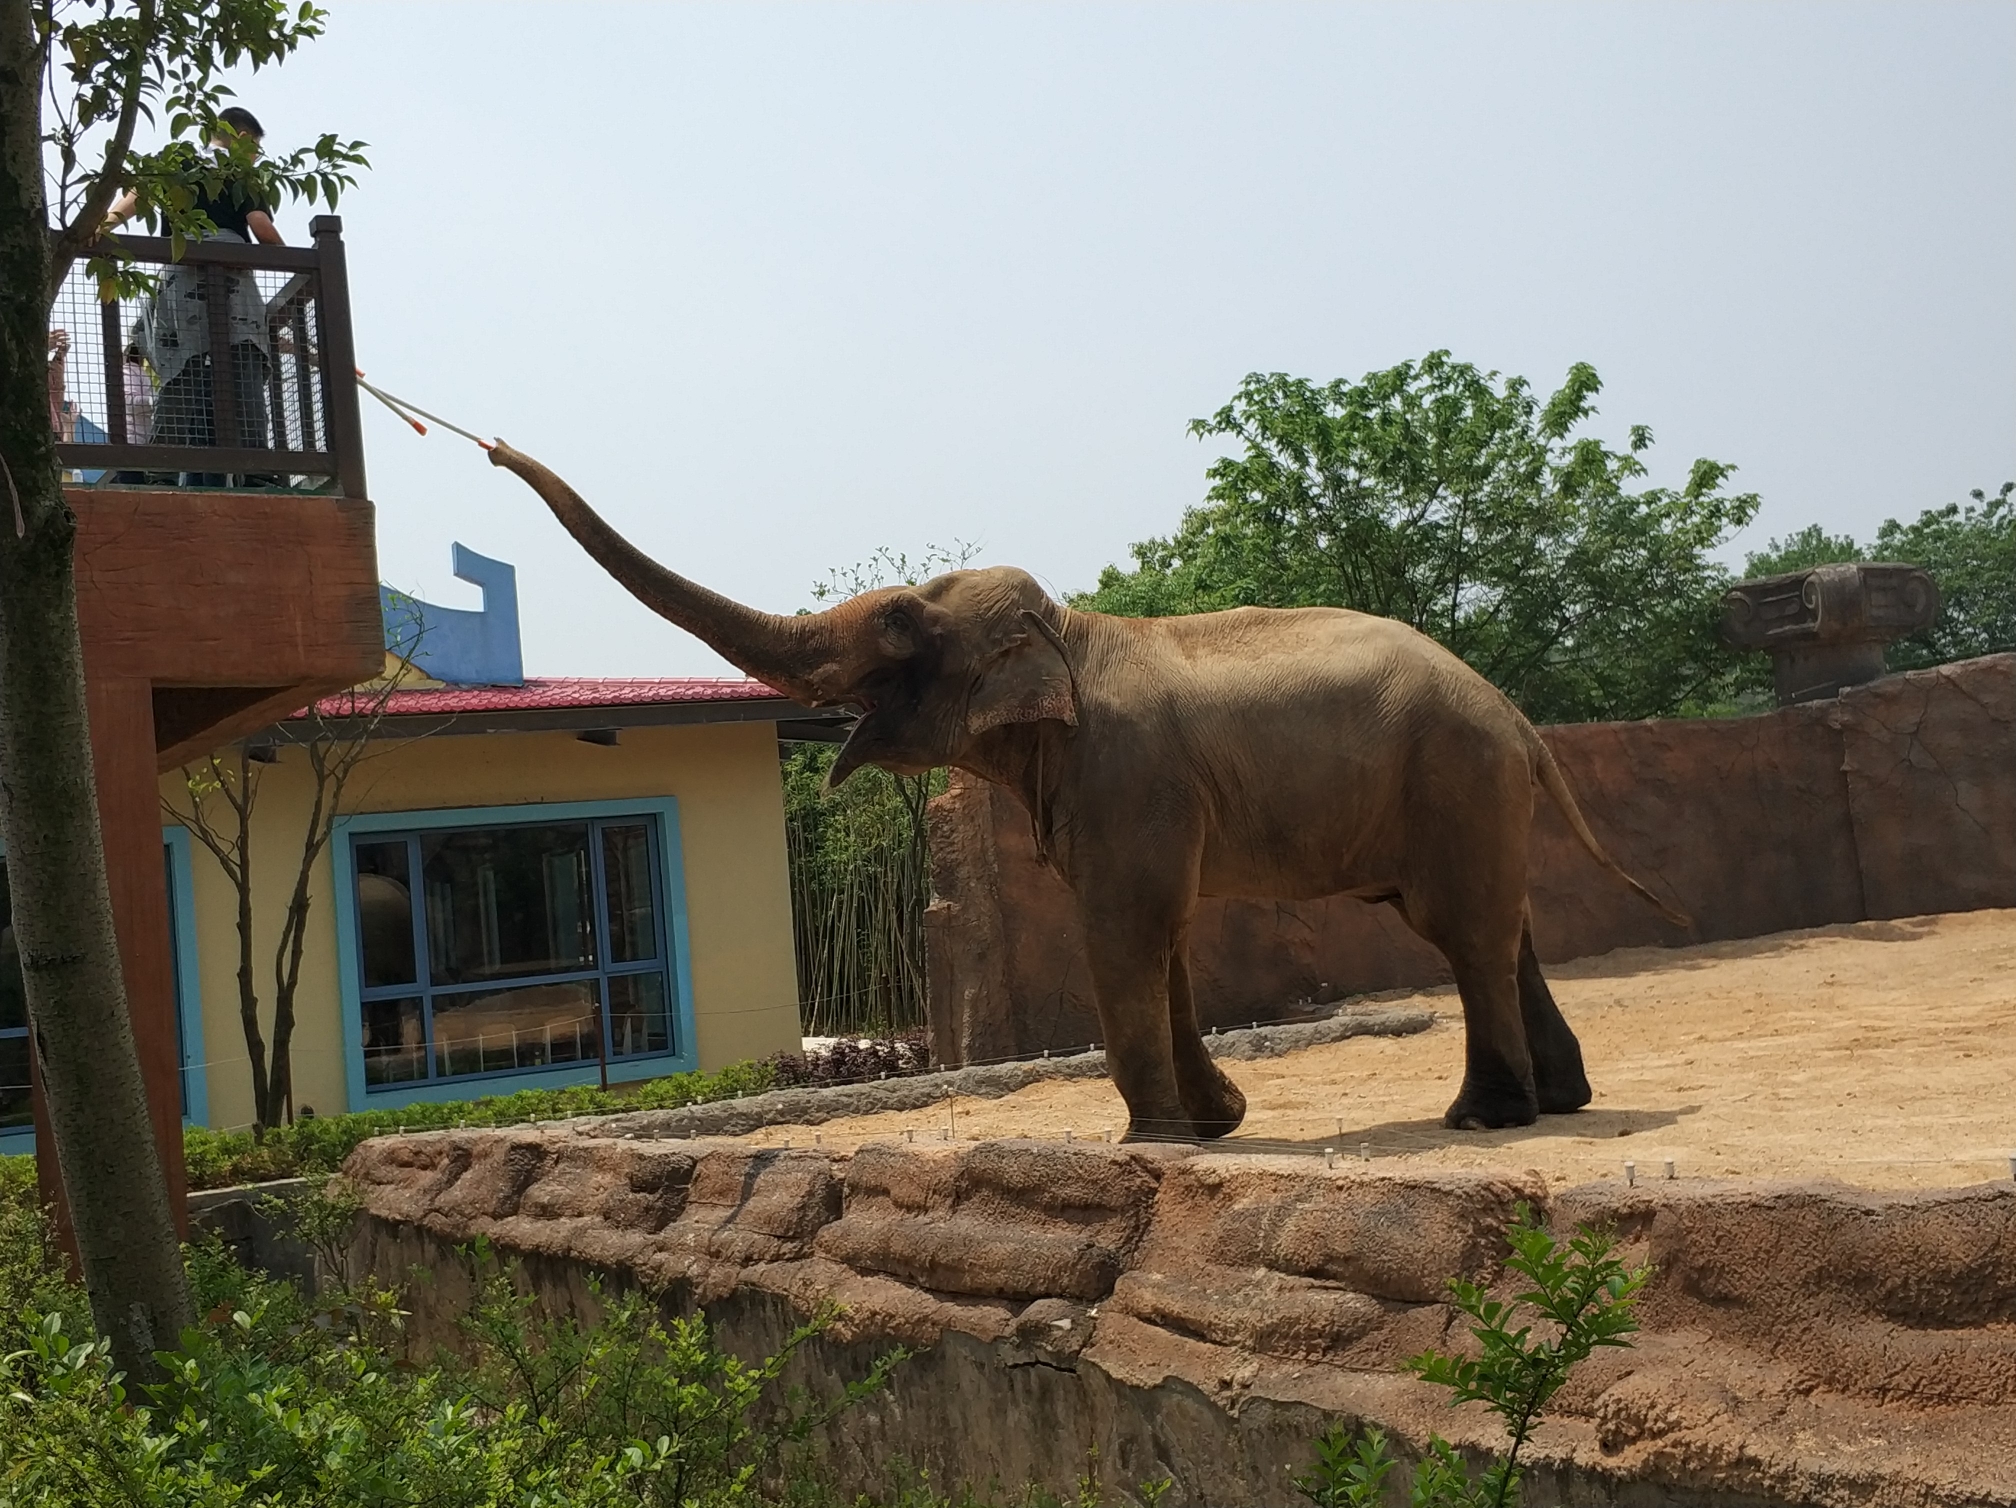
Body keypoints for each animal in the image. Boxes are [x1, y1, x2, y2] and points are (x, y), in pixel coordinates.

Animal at [483, 441, 1685, 1137]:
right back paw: (1560, 1102)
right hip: (1465, 786)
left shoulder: (1128, 776)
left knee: (1463, 930)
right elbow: (1165, 936)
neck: (1069, 630)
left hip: (1453, 774)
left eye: (900, 624)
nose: (491, 448)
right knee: (1503, 925)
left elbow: (1127, 925)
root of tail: (1518, 715)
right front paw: (1215, 1124)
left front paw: (1153, 1137)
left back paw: (1485, 1119)